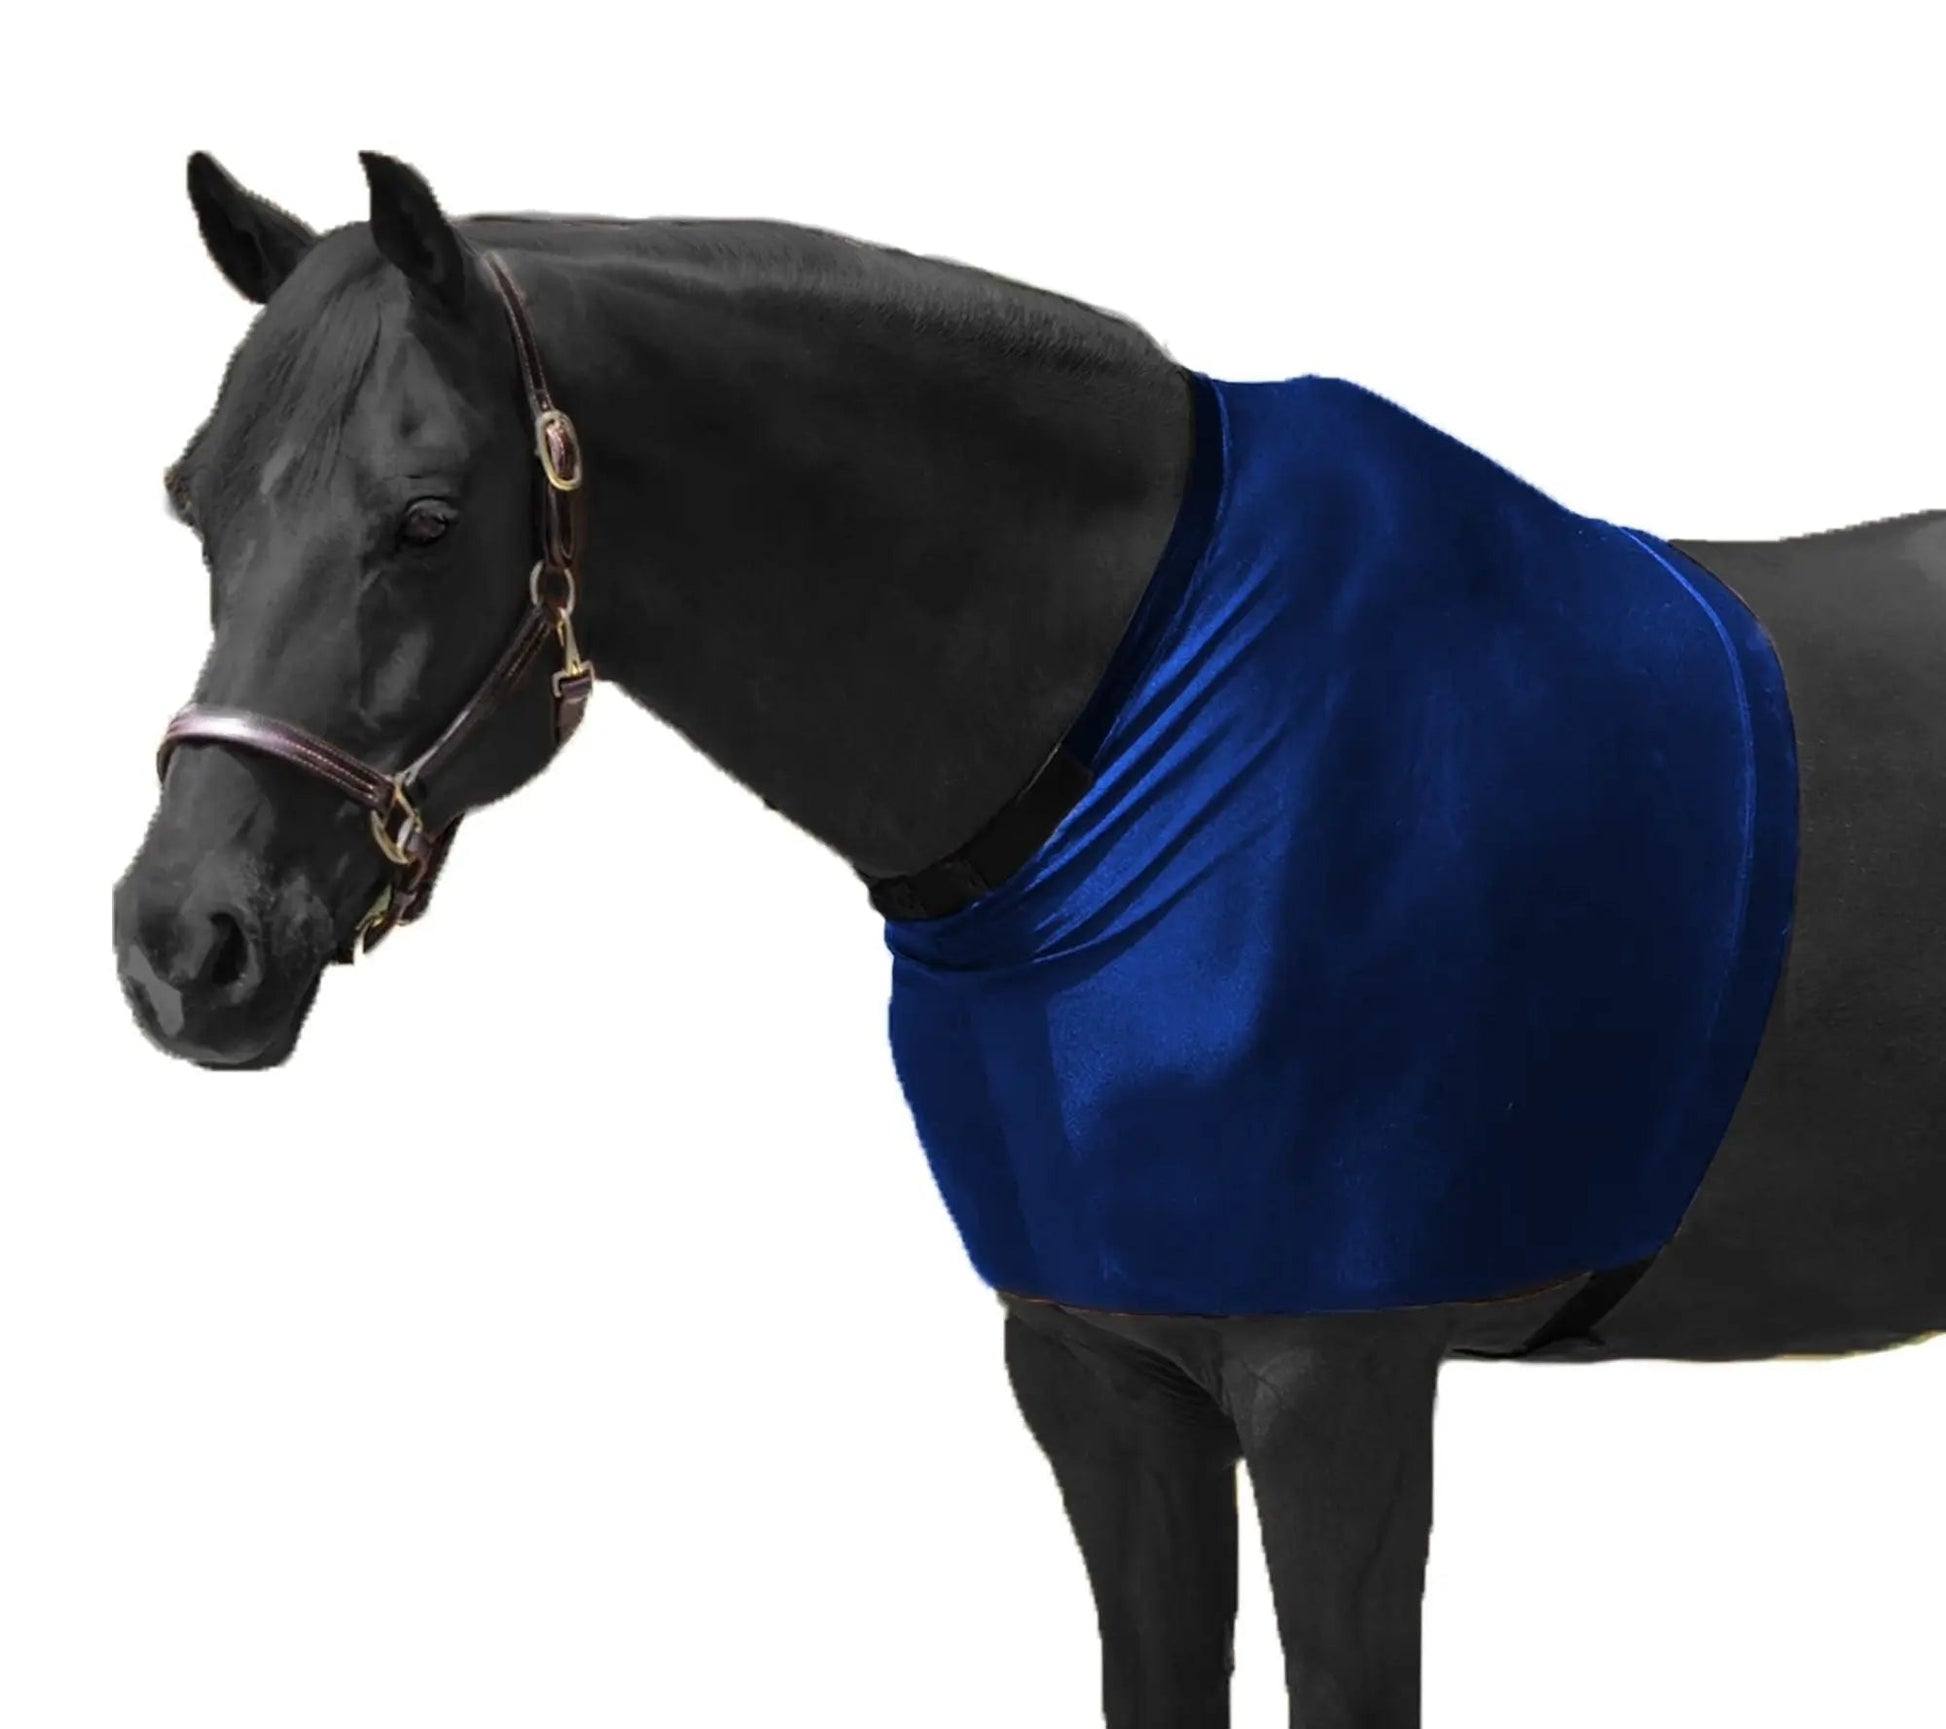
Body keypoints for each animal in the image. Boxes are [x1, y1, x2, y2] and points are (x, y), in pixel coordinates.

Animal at [113, 152, 1944, 1728]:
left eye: (427, 515)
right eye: (192, 502)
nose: (183, 941)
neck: (1140, 740)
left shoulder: (1336, 1388)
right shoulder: (1097, 1369)